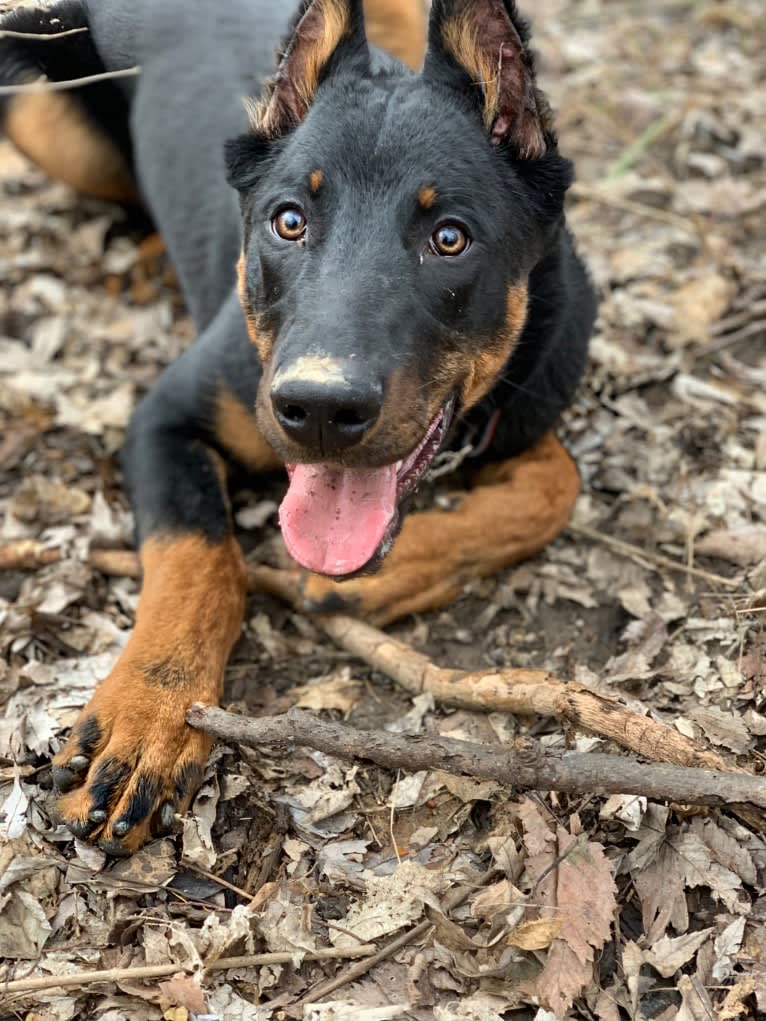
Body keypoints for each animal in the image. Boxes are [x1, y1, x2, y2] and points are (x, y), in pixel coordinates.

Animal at [0, 0, 596, 853]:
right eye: (289, 222)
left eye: (450, 237)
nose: (317, 409)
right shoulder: (163, 417)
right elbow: (197, 557)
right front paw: (147, 715)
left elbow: (557, 481)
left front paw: (393, 568)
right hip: (46, 117)